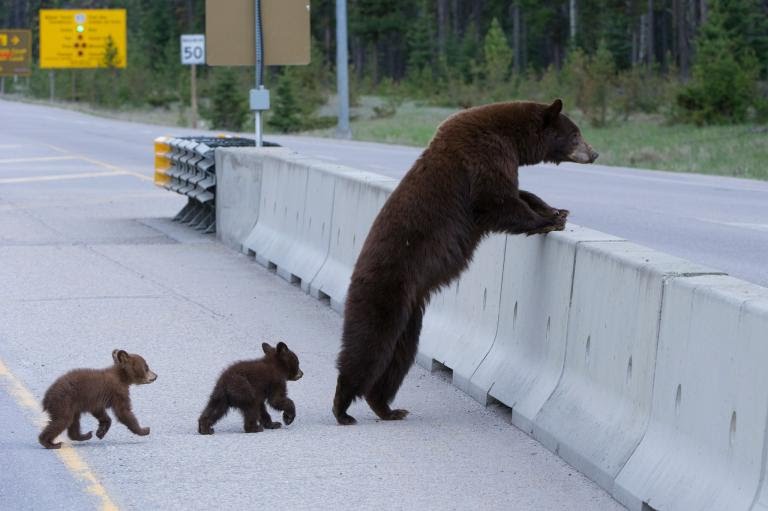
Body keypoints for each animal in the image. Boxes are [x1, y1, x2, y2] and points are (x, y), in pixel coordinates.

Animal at [332, 98, 596, 426]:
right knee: (368, 344)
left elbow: (518, 192)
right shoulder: (484, 157)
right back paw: (343, 407)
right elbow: (497, 201)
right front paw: (547, 219)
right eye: (575, 134)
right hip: (384, 292)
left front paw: (555, 209)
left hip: (410, 315)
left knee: (399, 355)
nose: (594, 153)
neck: (511, 136)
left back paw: (387, 407)